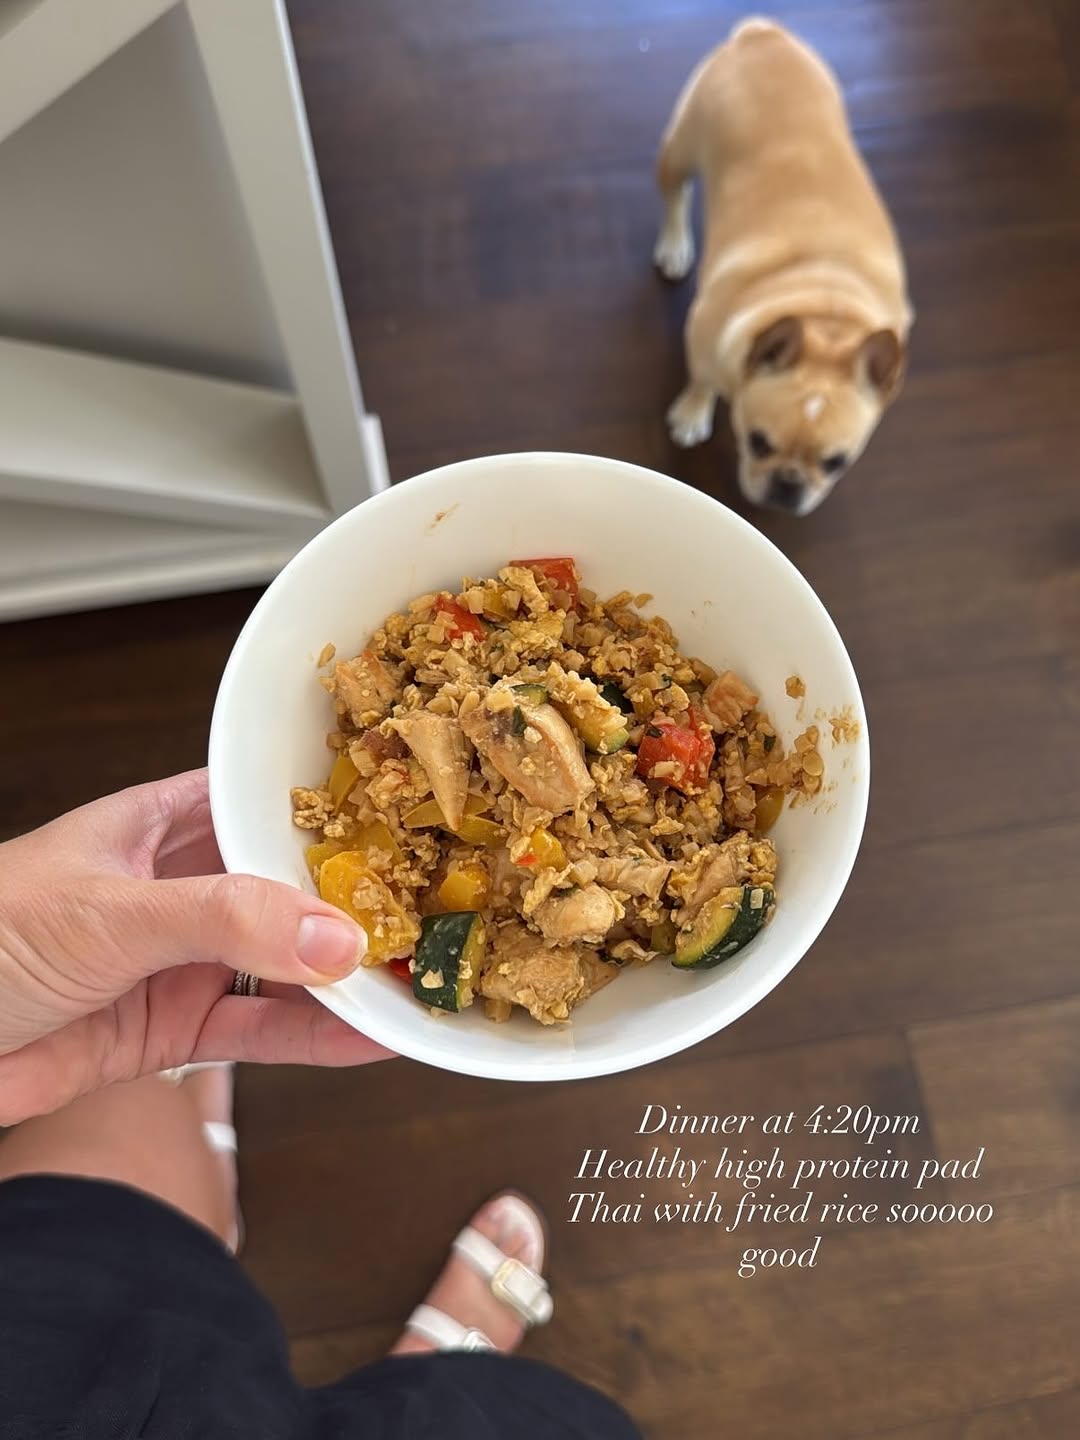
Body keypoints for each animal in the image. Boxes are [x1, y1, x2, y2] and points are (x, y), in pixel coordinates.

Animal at [654, 18, 912, 515]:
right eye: (757, 442)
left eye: (836, 463)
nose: (787, 486)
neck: (826, 311)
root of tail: (762, 33)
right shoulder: (703, 331)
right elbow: (702, 377)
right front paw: (692, 413)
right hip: (682, 146)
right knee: (676, 193)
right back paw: (675, 245)